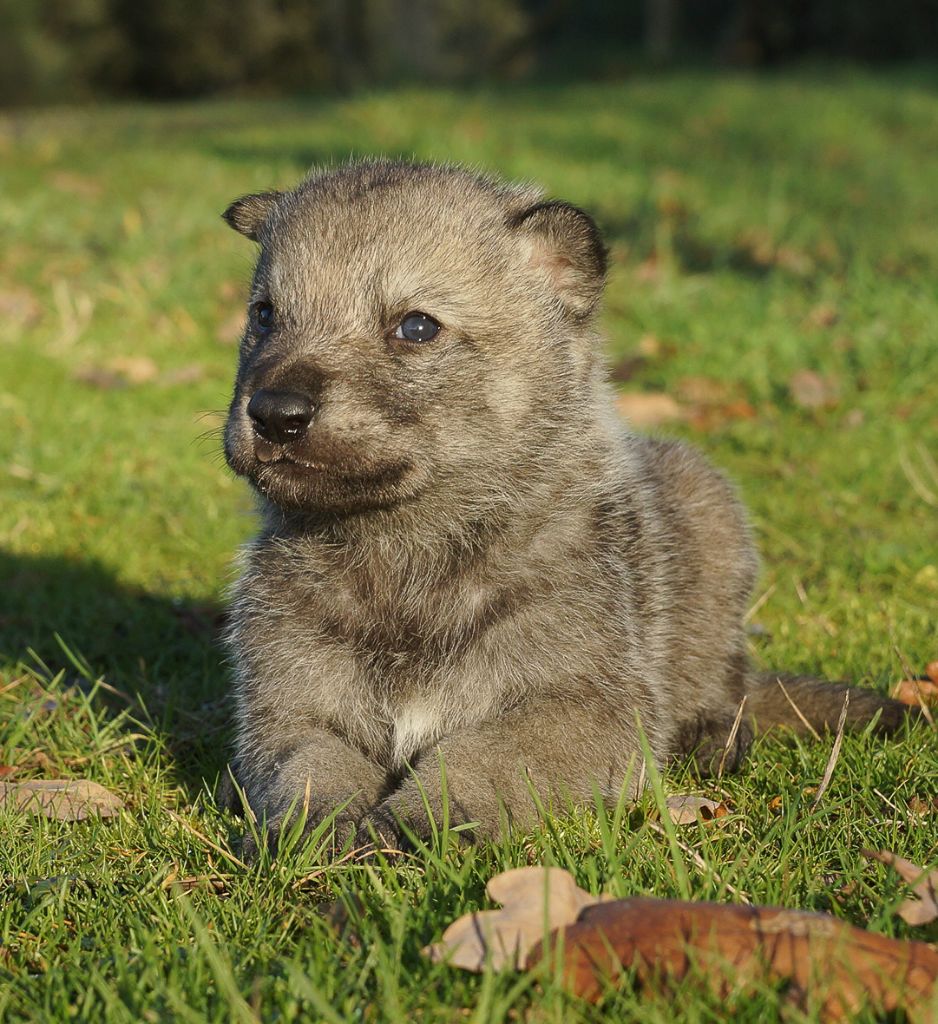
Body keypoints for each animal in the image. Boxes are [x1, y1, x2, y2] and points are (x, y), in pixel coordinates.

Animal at [218, 157, 909, 847]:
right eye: (265, 315)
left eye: (416, 327)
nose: (275, 413)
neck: (405, 552)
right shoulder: (288, 709)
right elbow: (311, 767)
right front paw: (316, 832)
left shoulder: (580, 707)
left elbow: (473, 759)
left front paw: (415, 822)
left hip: (713, 524)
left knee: (727, 677)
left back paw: (713, 734)